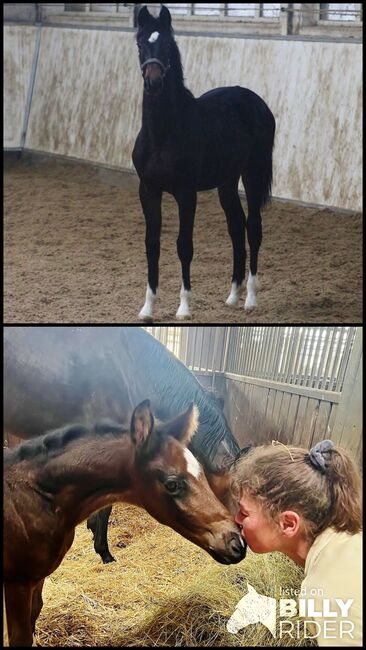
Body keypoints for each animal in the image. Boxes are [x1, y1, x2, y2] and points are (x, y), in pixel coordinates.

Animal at [3, 398, 246, 644]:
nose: (237, 544)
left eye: (202, 473)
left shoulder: (37, 578)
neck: (39, 498)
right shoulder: (17, 582)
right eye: (172, 484)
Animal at [133, 5, 276, 318]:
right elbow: (151, 245)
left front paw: (184, 308)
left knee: (253, 228)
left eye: (167, 45)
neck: (163, 134)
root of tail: (257, 103)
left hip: (253, 173)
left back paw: (250, 299)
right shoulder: (148, 190)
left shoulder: (186, 194)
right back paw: (232, 296)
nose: (153, 82)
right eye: (140, 44)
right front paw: (147, 307)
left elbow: (184, 246)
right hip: (227, 182)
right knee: (236, 229)